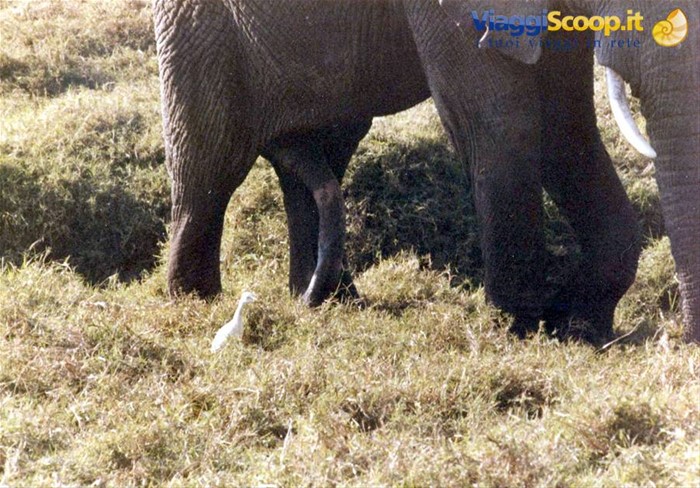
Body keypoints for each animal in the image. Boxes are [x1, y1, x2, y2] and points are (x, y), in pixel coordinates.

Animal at [153, 0, 699, 342]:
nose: (685, 342)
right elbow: (502, 122)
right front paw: (521, 330)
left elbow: (566, 125)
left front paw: (578, 325)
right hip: (199, 29)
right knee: (211, 163)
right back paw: (197, 306)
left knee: (326, 151)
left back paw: (326, 300)